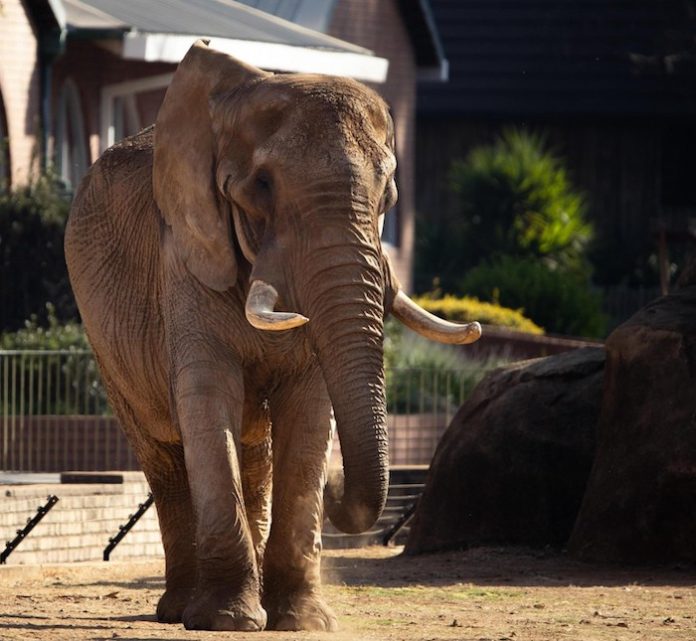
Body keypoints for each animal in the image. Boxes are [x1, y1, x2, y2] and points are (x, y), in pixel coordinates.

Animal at [65, 40, 481, 632]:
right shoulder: (187, 254)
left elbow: (308, 411)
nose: (338, 484)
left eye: (389, 197)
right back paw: (178, 609)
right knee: (163, 456)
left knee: (255, 455)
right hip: (105, 347)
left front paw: (304, 622)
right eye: (261, 186)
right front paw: (226, 621)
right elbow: (206, 398)